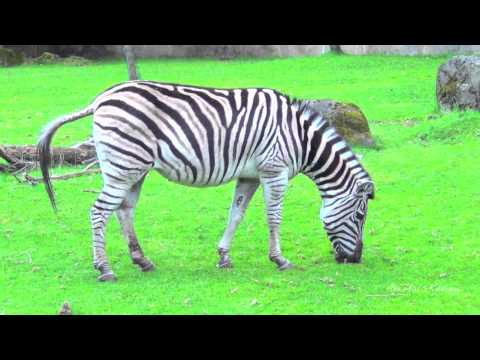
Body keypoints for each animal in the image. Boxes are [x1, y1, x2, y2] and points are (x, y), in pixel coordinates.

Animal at [37, 81, 376, 282]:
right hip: (124, 164)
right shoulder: (274, 170)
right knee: (99, 211)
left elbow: (236, 214)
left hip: (132, 167)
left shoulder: (249, 175)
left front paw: (224, 256)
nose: (356, 259)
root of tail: (101, 98)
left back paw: (142, 260)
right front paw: (280, 259)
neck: (301, 139)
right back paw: (104, 269)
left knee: (123, 210)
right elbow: (274, 217)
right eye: (360, 215)